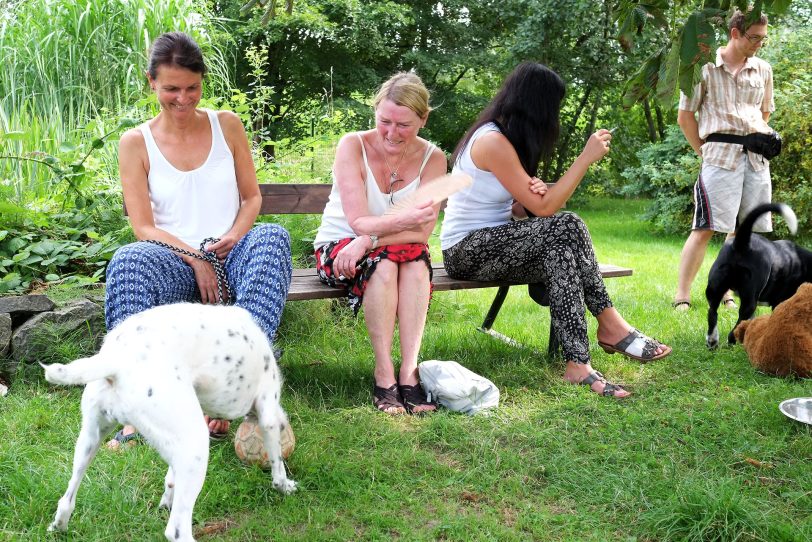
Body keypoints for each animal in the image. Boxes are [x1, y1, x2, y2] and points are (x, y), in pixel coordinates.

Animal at [704, 202, 812, 350]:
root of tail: (742, 243)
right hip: (749, 300)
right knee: (735, 327)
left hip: (715, 288)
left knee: (712, 312)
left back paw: (712, 341)